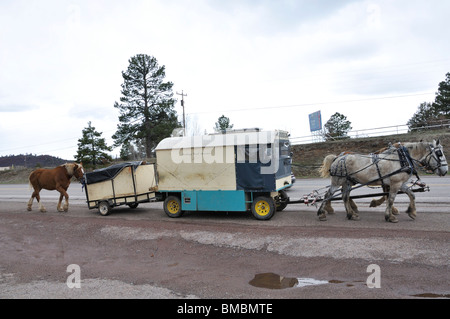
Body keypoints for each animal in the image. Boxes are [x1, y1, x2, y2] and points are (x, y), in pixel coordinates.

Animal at [316, 141, 446, 224]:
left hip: (347, 182)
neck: (401, 159)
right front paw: (390, 216)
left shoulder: (400, 183)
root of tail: (337, 158)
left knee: (344, 197)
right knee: (328, 195)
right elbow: (390, 199)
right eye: (439, 153)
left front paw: (412, 212)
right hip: (337, 181)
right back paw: (322, 213)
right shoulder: (394, 184)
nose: (445, 171)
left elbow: (411, 194)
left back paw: (351, 214)